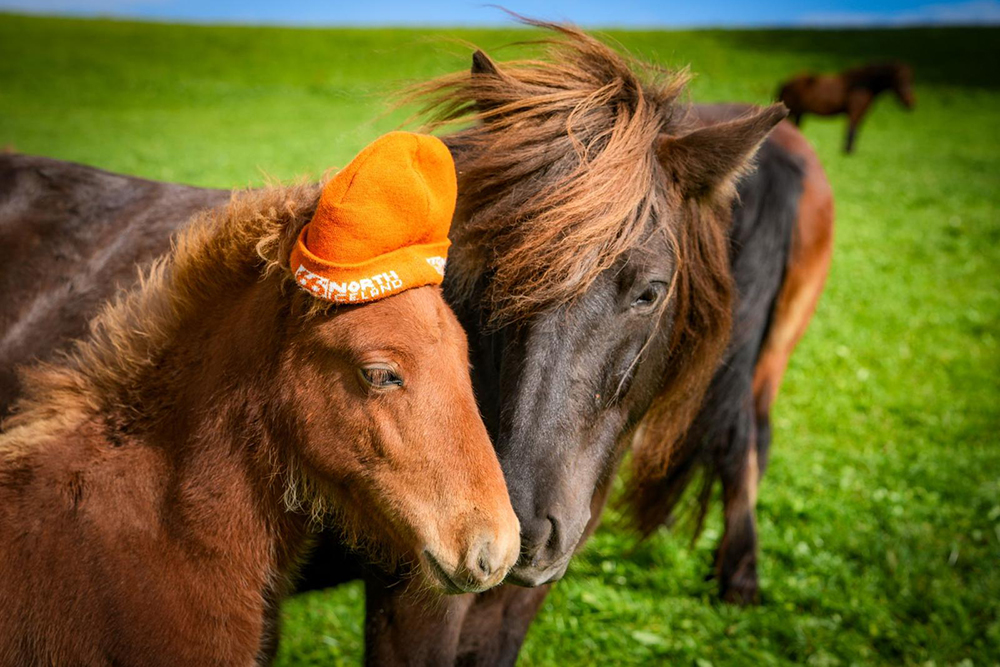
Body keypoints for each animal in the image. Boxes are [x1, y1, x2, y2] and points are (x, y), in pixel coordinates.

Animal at [776, 61, 916, 153]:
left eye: (910, 79)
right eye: (902, 79)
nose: (911, 103)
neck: (863, 85)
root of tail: (785, 82)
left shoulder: (861, 113)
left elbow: (856, 131)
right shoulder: (855, 111)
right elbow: (851, 131)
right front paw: (848, 152)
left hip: (799, 114)